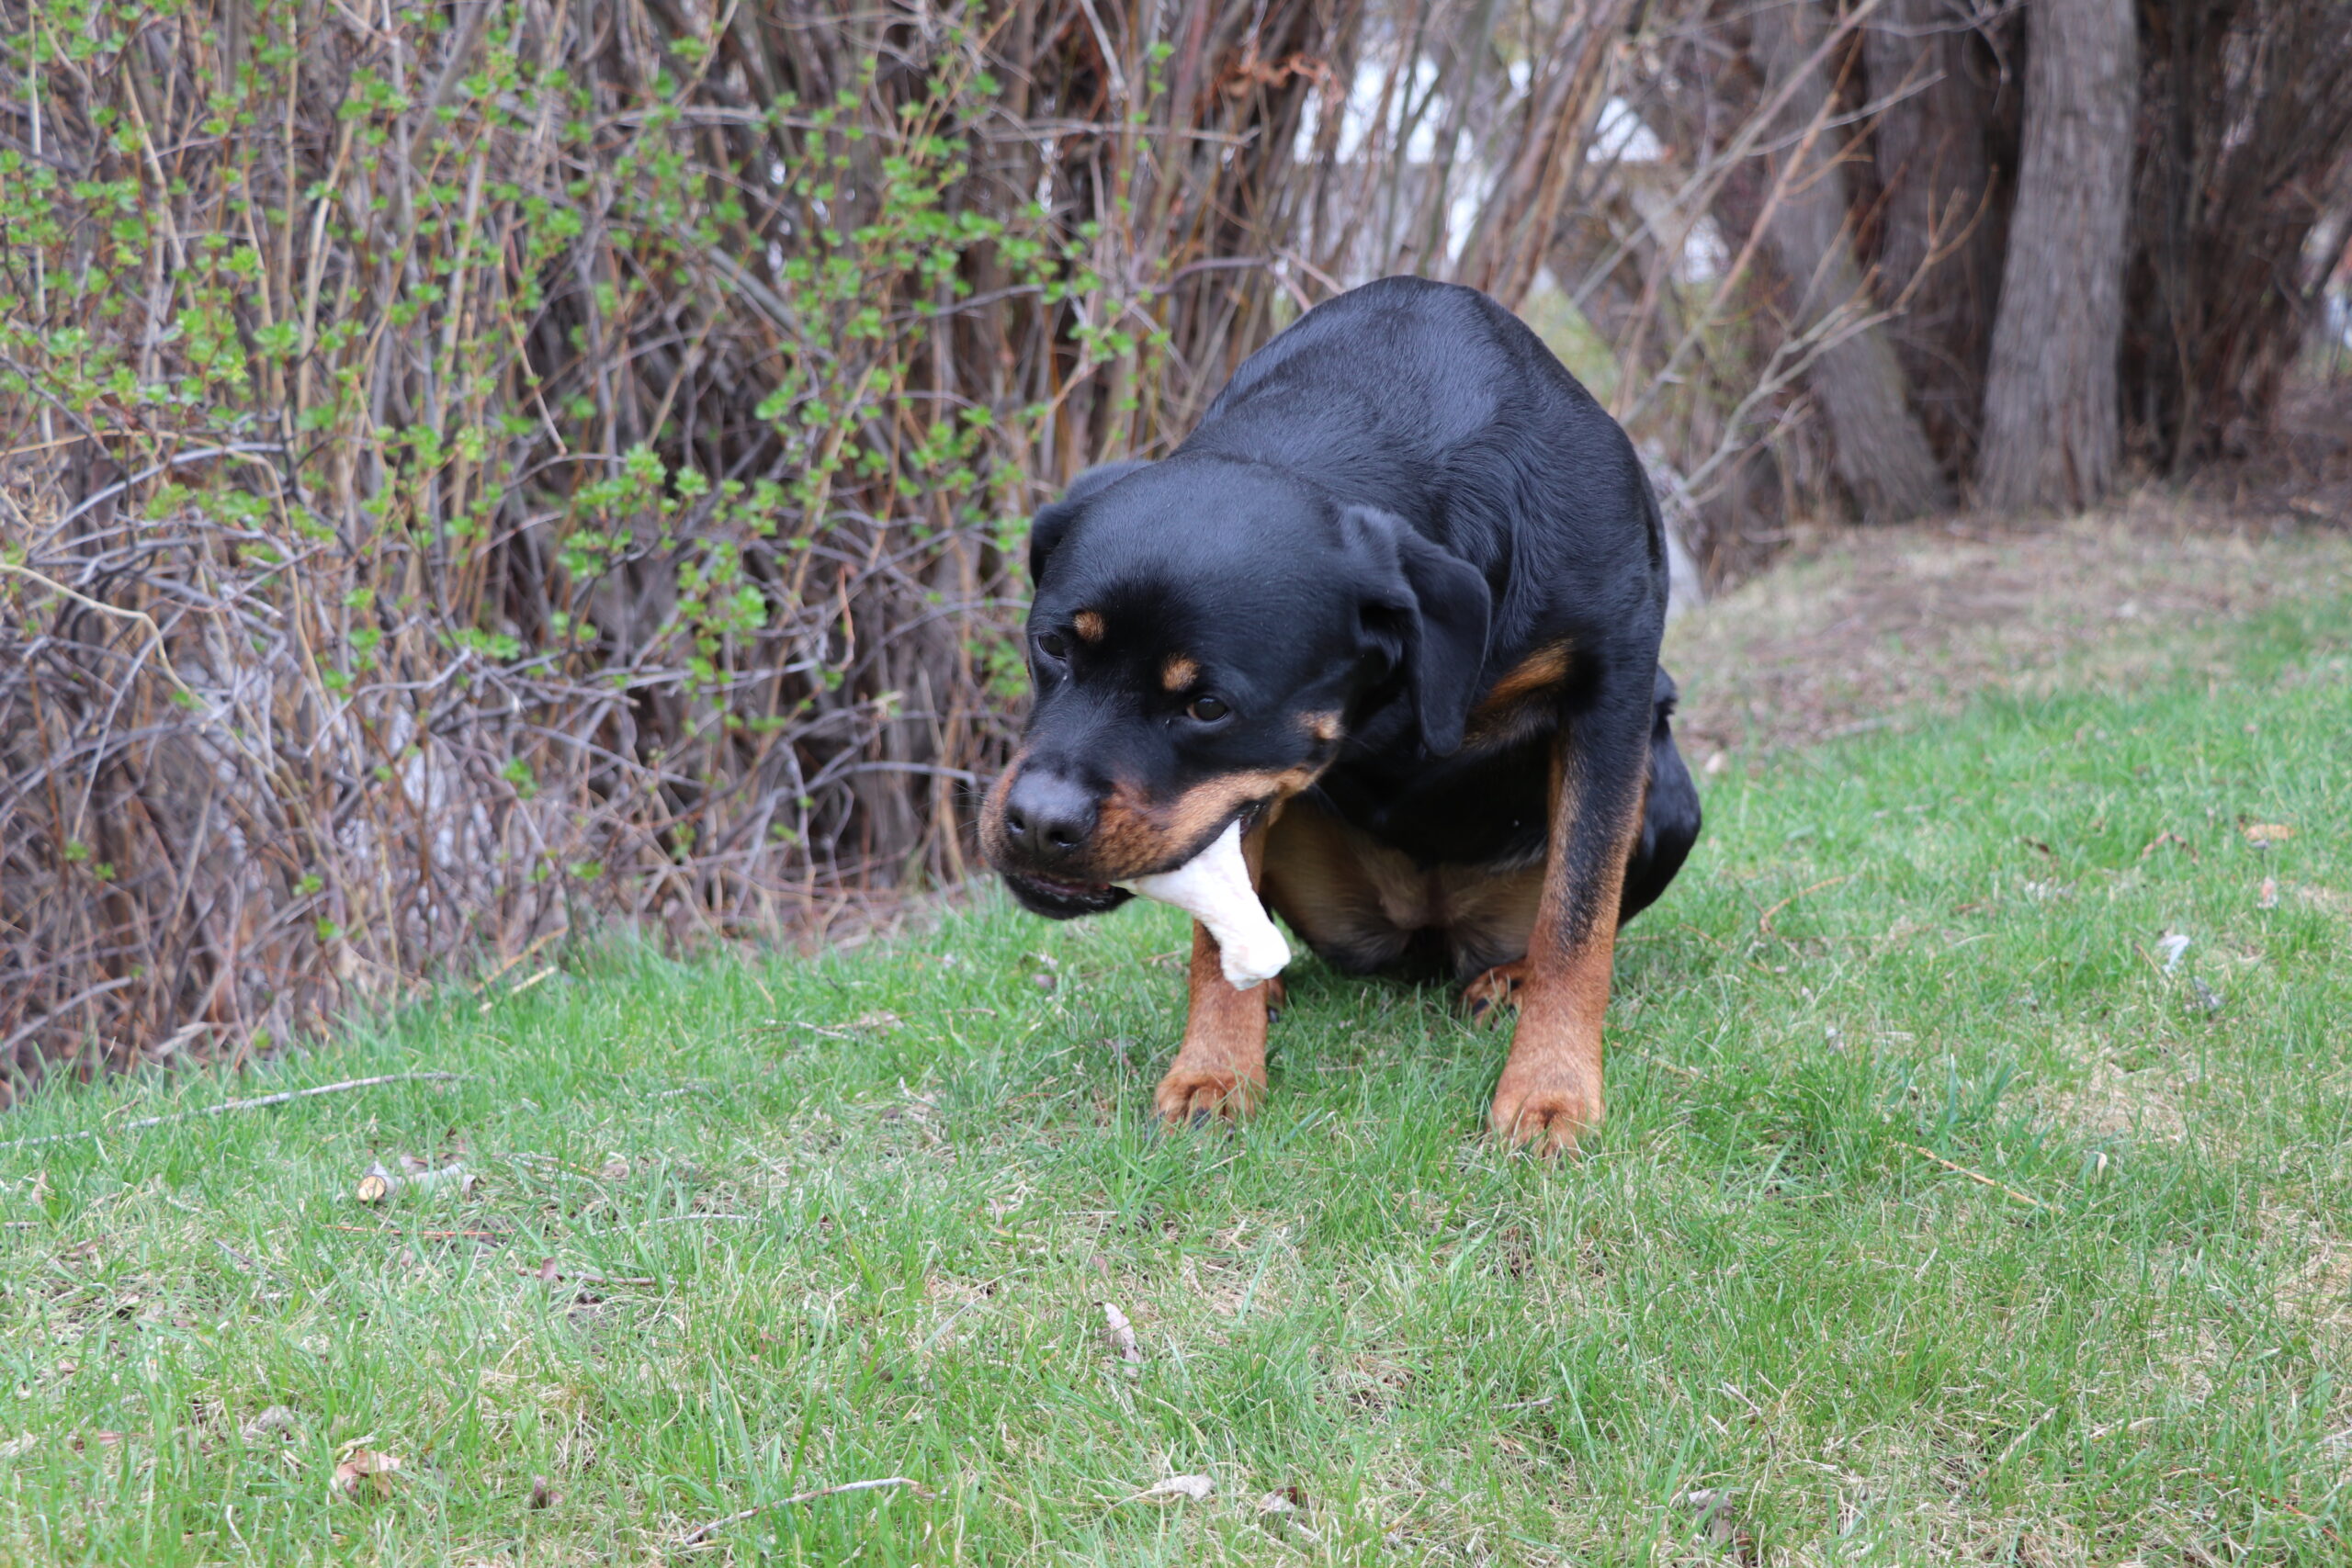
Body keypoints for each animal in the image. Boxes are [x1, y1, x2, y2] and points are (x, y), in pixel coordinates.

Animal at [983, 276, 1702, 1152]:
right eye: (1053, 645)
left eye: (1208, 706)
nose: (1037, 821)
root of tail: (1427, 931)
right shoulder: (1233, 800)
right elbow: (1213, 928)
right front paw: (1216, 1069)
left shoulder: (1612, 688)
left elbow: (1580, 913)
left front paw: (1552, 1087)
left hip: (1669, 795)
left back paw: (1512, 978)